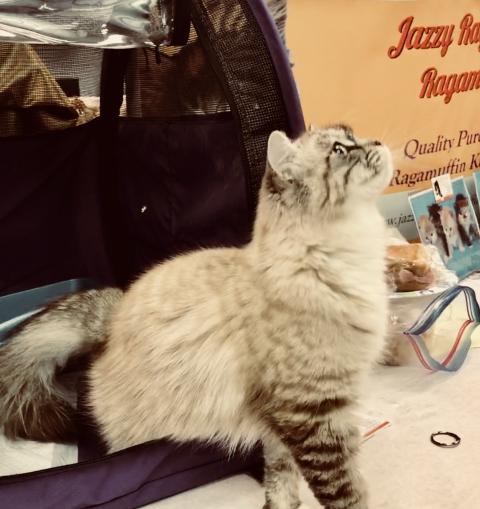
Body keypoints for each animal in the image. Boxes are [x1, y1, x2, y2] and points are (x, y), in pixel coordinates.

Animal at [0, 125, 393, 509]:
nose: (378, 141)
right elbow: (346, 491)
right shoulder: (312, 414)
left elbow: (281, 481)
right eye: (340, 149)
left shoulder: (286, 423)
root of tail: (111, 320)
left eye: (355, 136)